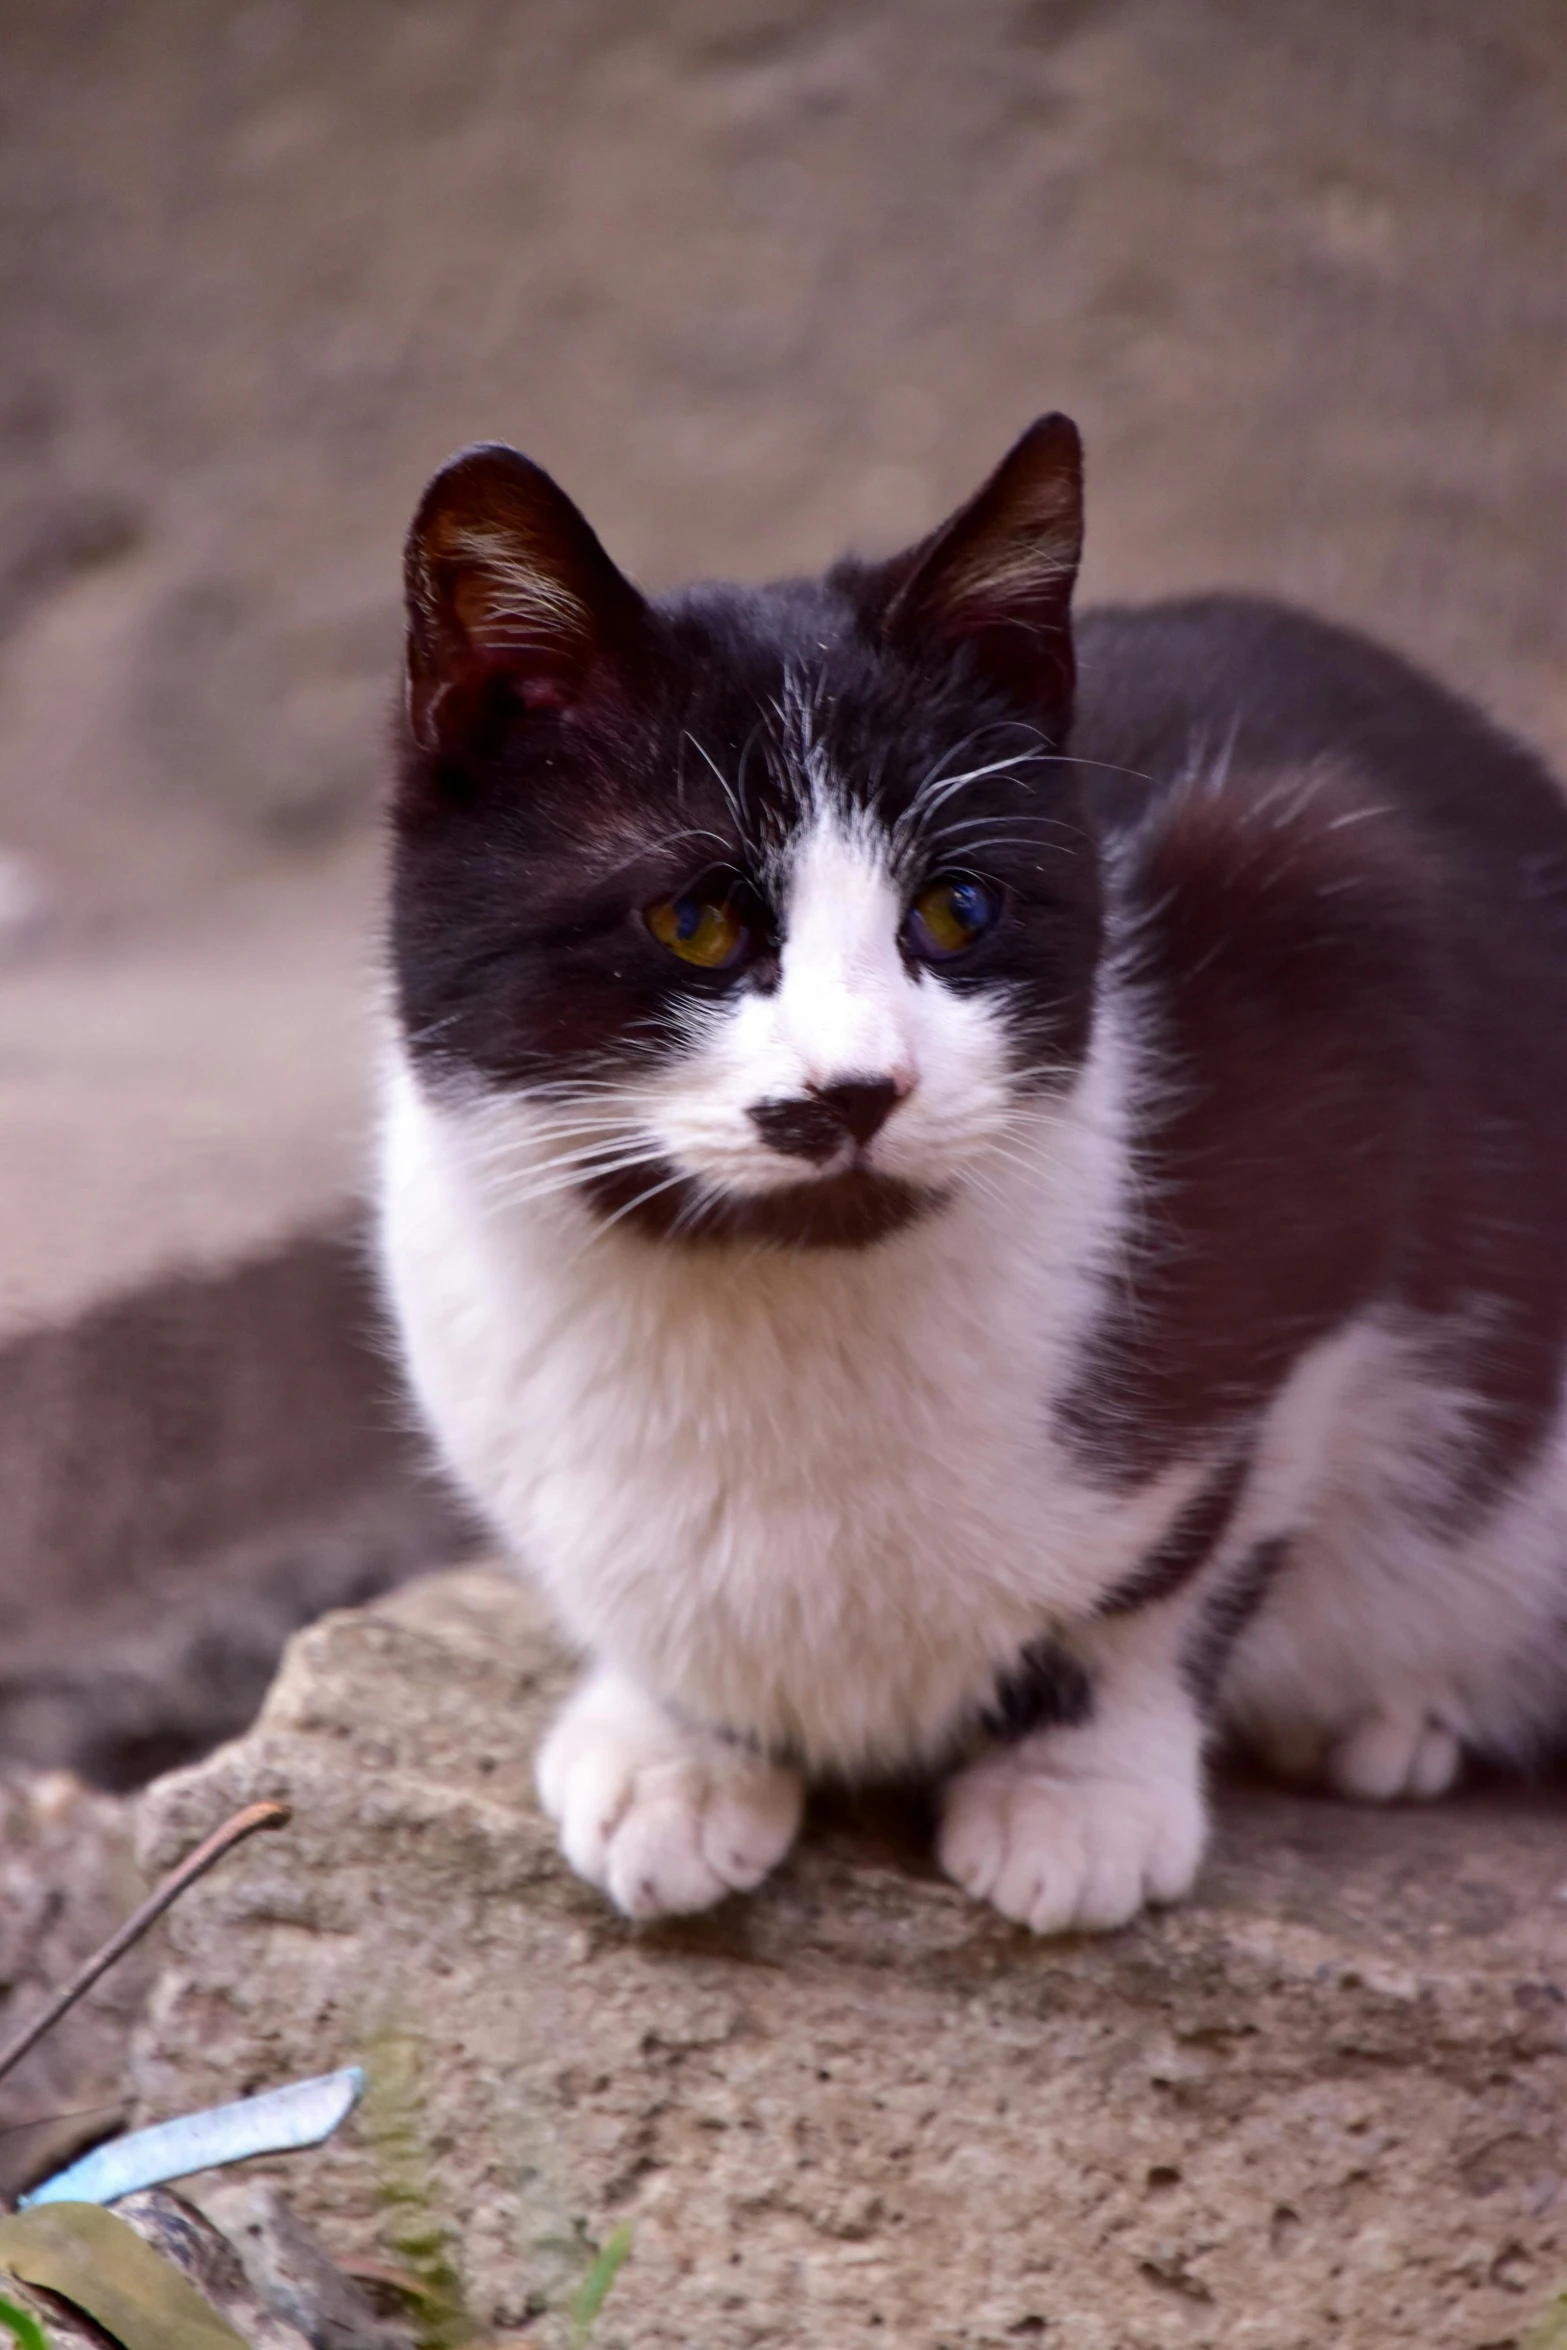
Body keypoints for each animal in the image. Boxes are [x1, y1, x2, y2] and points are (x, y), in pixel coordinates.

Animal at [375, 418, 1567, 1926]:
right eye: (695, 920)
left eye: (956, 908)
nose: (856, 1087)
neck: (771, 1305)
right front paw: (677, 1747)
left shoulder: (1335, 933)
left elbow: (1201, 1540)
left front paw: (1080, 1789)